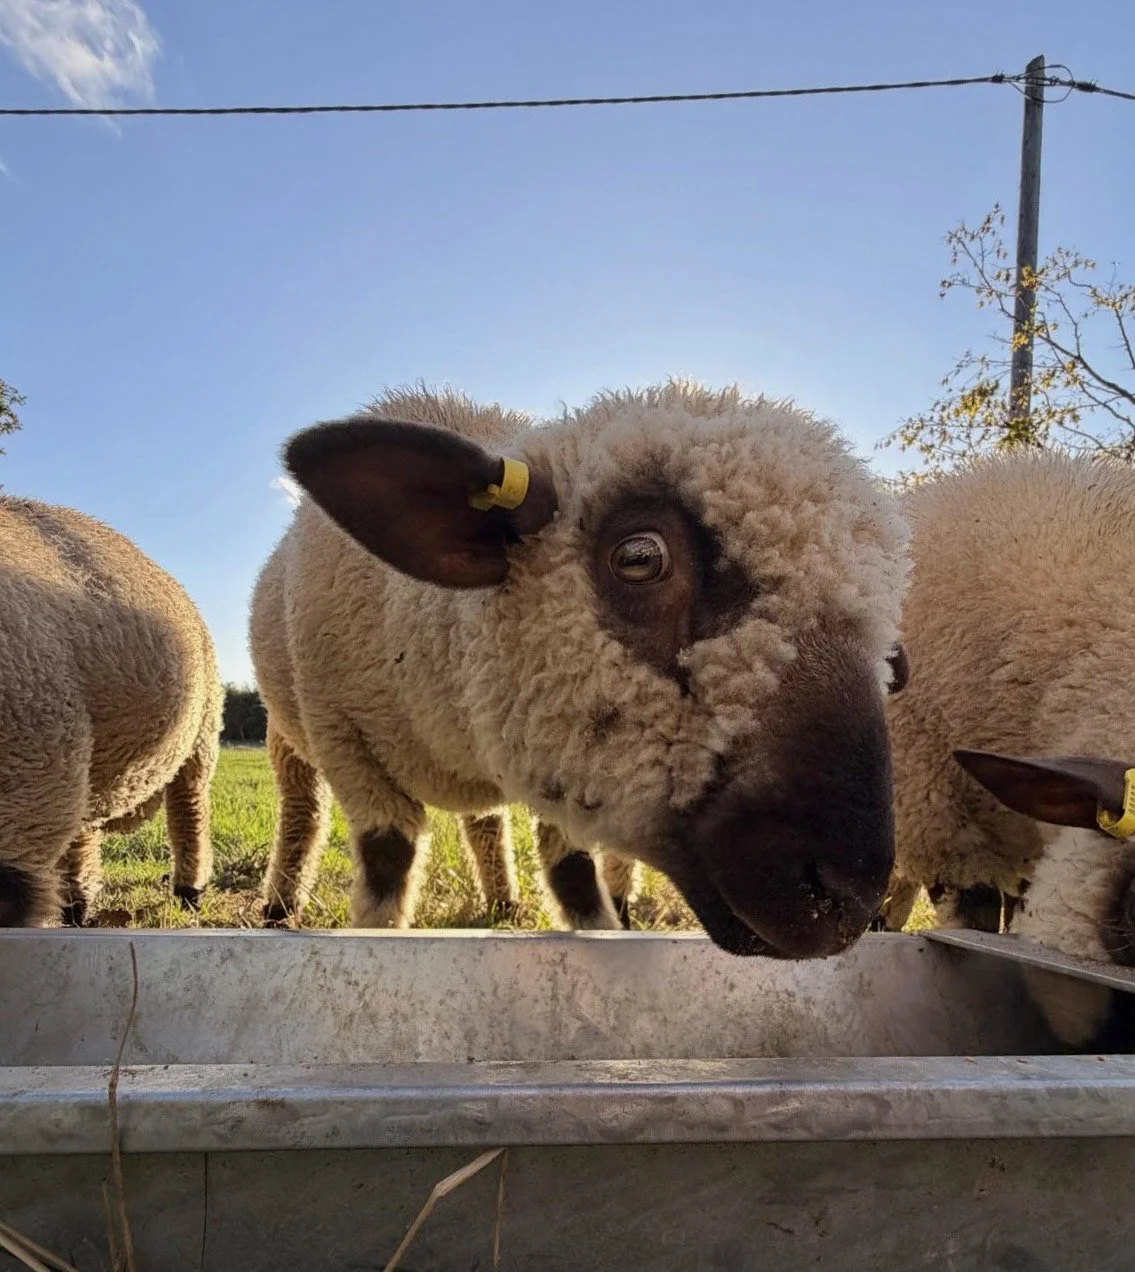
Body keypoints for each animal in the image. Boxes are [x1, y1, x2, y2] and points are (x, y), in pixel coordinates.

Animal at [0, 496, 223, 927]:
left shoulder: (35, 772)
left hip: (202, 733)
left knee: (190, 811)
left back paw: (190, 893)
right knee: (83, 835)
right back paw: (77, 908)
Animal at [250, 380, 909, 957]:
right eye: (639, 557)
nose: (845, 900)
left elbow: (573, 874)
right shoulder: (348, 744)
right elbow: (388, 865)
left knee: (485, 822)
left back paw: (504, 902)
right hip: (288, 731)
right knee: (302, 810)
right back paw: (280, 905)